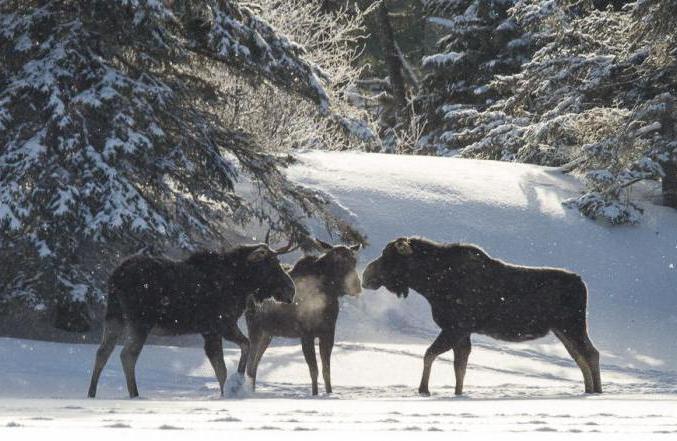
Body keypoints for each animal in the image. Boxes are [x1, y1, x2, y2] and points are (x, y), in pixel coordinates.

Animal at [87, 241, 296, 398]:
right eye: (270, 264)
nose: (291, 290)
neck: (239, 284)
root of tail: (115, 278)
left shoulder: (210, 331)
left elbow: (221, 368)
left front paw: (227, 392)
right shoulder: (222, 324)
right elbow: (242, 349)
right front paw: (236, 384)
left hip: (114, 317)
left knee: (102, 352)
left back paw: (92, 393)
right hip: (140, 322)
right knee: (127, 355)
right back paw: (135, 395)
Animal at [242, 239, 360, 394]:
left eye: (355, 260)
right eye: (337, 262)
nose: (357, 286)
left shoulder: (328, 333)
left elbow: (326, 371)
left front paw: (329, 393)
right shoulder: (306, 334)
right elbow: (314, 371)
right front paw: (315, 394)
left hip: (268, 334)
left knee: (254, 365)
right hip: (256, 329)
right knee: (250, 365)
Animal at [362, 237, 600, 396]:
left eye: (389, 256)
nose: (365, 276)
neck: (430, 284)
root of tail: (583, 284)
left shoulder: (455, 327)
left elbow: (430, 355)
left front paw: (424, 389)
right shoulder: (462, 331)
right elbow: (459, 366)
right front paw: (457, 393)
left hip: (573, 325)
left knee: (591, 353)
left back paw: (596, 391)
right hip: (562, 330)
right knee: (581, 357)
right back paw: (589, 390)